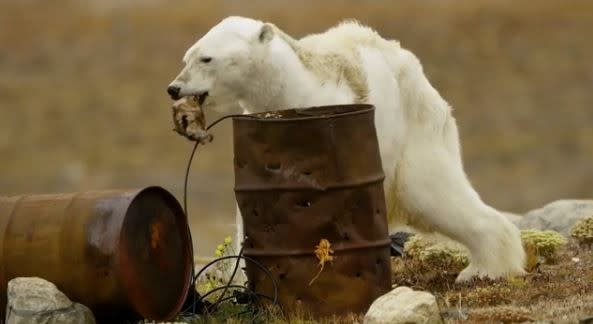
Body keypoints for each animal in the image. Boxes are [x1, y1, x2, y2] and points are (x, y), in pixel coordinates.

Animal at [166, 16, 524, 282]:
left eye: (207, 58)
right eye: (187, 56)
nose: (174, 88)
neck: (288, 89)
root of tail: (415, 69)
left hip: (414, 133)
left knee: (434, 194)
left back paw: (484, 269)